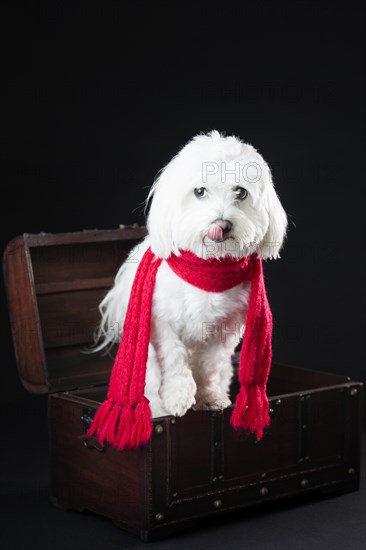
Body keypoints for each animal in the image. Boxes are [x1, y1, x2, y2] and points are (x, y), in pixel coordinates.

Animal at [96, 132, 288, 420]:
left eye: (240, 192)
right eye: (199, 191)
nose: (222, 224)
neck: (206, 267)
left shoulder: (225, 330)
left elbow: (208, 365)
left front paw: (207, 397)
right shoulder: (161, 322)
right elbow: (174, 358)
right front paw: (177, 397)